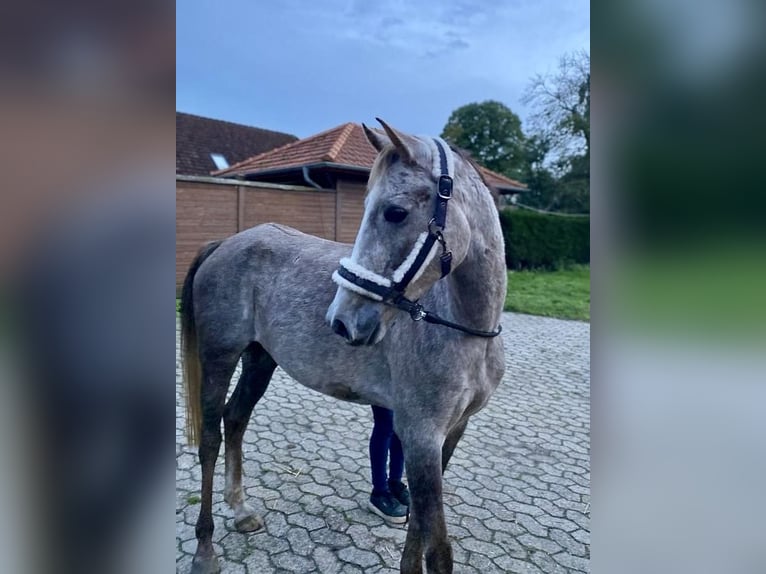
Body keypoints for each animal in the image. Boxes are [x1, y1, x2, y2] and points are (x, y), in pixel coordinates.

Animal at [182, 119, 510, 572]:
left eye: (395, 212)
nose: (341, 320)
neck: (466, 328)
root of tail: (225, 244)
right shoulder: (421, 433)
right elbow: (438, 547)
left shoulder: (447, 433)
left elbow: (418, 524)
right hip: (219, 357)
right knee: (211, 438)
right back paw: (204, 549)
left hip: (260, 360)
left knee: (235, 419)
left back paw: (242, 510)